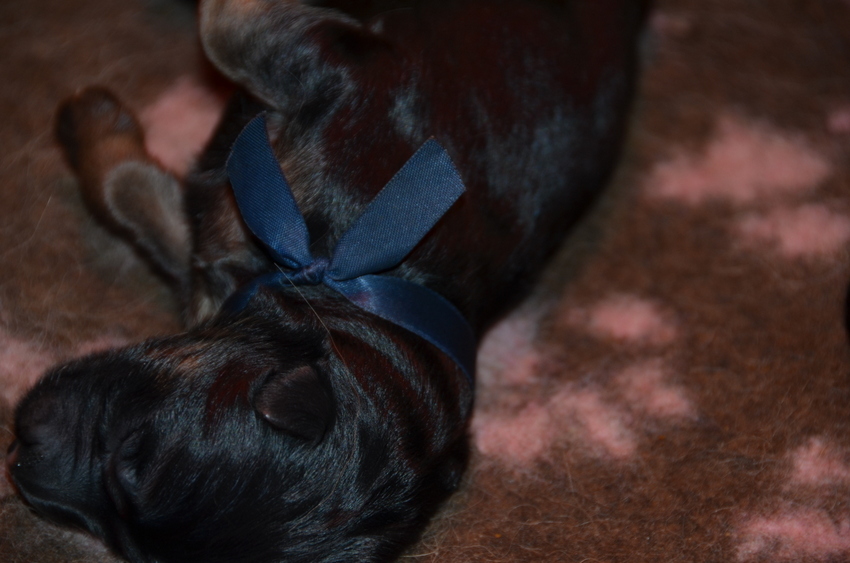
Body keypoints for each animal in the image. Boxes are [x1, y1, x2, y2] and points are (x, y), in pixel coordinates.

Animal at [7, 1, 646, 561]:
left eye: (125, 465)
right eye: (131, 448)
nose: (17, 455)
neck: (353, 277)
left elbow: (136, 186)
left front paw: (88, 117)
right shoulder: (333, 65)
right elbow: (222, 29)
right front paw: (94, 115)